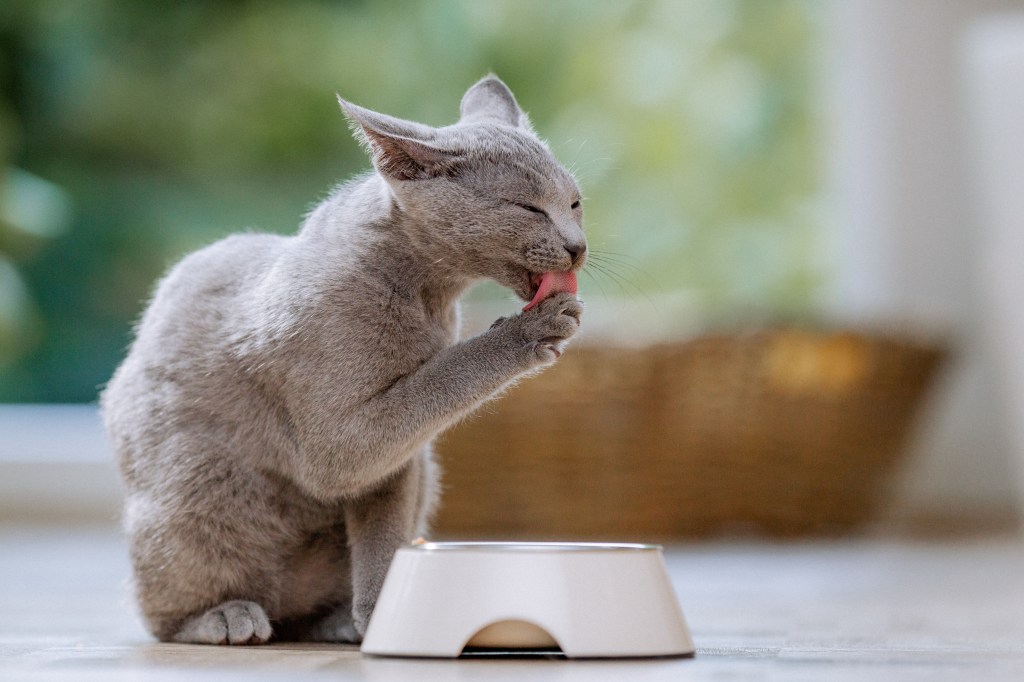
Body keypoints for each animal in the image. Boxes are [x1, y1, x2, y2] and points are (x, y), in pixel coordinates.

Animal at [101, 74, 593, 643]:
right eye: (527, 207)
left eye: (575, 203)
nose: (577, 247)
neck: (428, 296)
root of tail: (282, 611)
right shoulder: (337, 439)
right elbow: (439, 381)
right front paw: (529, 331)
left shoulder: (402, 463)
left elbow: (384, 531)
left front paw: (383, 611)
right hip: (195, 480)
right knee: (158, 613)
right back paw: (223, 617)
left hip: (425, 472)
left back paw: (335, 621)